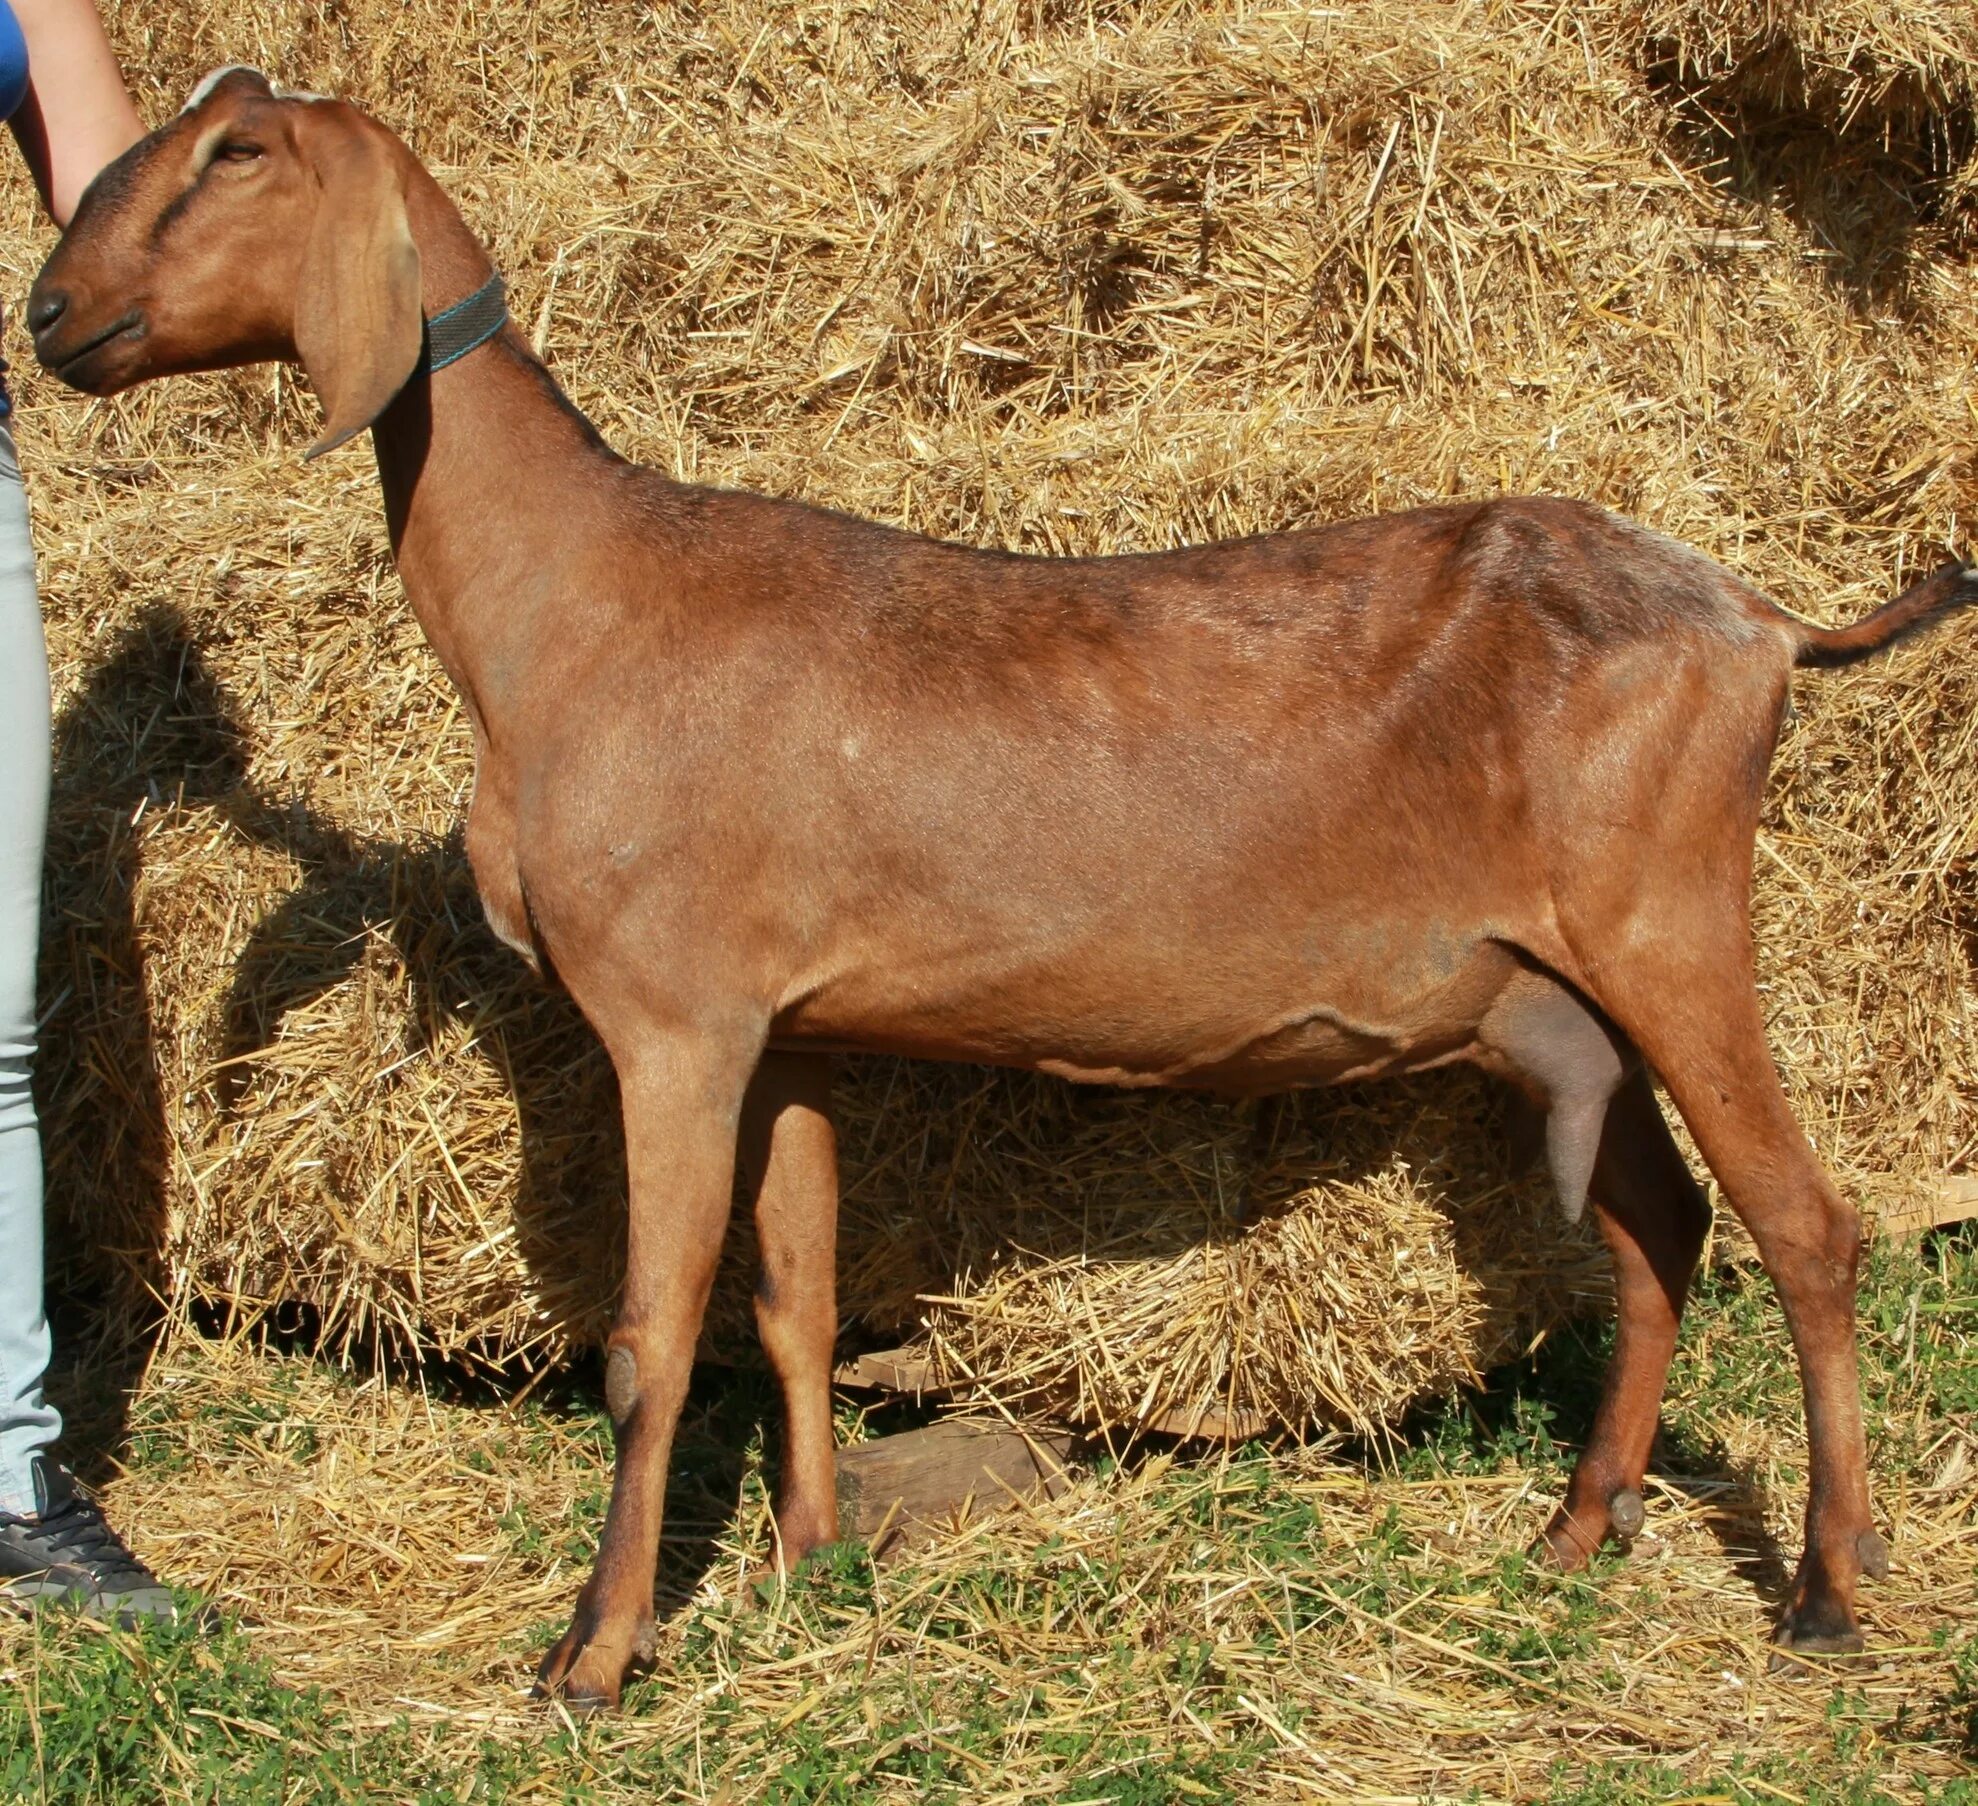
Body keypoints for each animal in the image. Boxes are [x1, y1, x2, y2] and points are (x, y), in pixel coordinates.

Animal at [30, 70, 1978, 1709]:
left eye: (236, 152)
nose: (49, 314)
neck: (573, 604)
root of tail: (1757, 617)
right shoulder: (789, 1029)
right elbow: (794, 1293)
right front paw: (810, 1561)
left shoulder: (672, 1017)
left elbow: (651, 1334)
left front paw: (593, 1652)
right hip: (1550, 993)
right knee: (1657, 1225)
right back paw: (1579, 1525)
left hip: (1671, 922)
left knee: (1804, 1225)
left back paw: (1828, 1584)